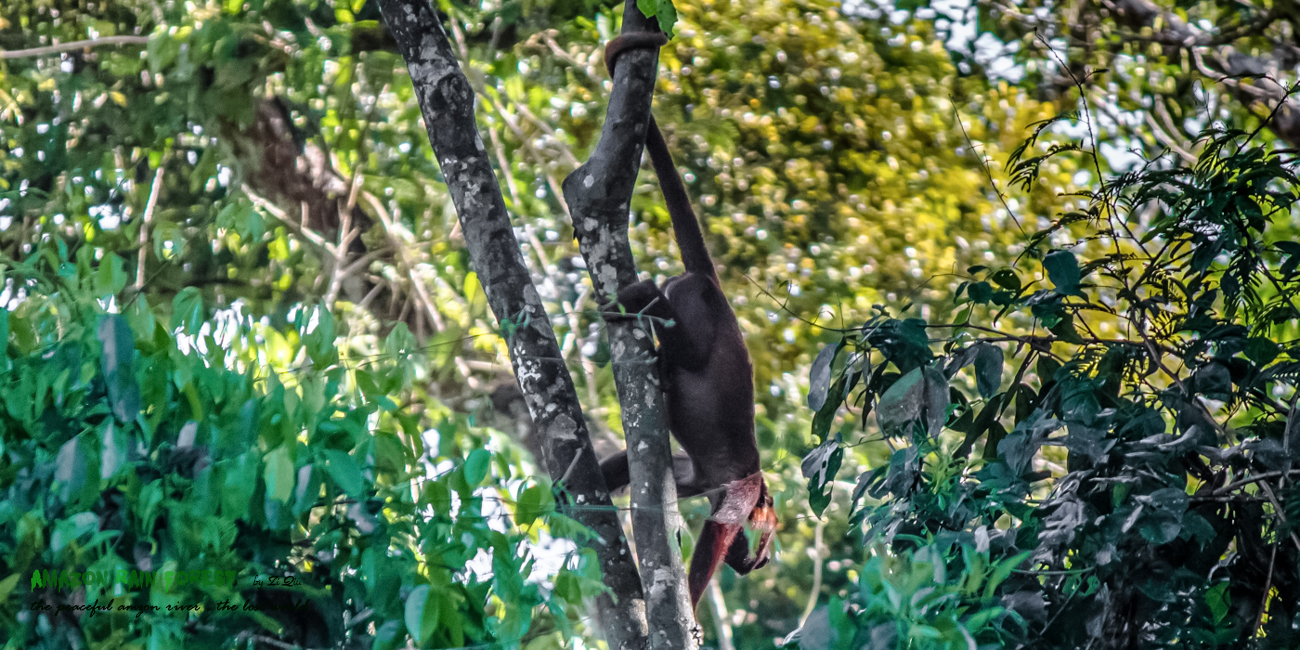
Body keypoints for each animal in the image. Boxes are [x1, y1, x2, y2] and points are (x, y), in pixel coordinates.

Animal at [600, 30, 780, 613]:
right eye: (766, 535)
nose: (758, 560)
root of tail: (715, 286)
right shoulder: (742, 489)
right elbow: (718, 528)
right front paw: (692, 611)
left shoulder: (696, 479)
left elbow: (637, 474)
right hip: (699, 302)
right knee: (686, 334)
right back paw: (644, 302)